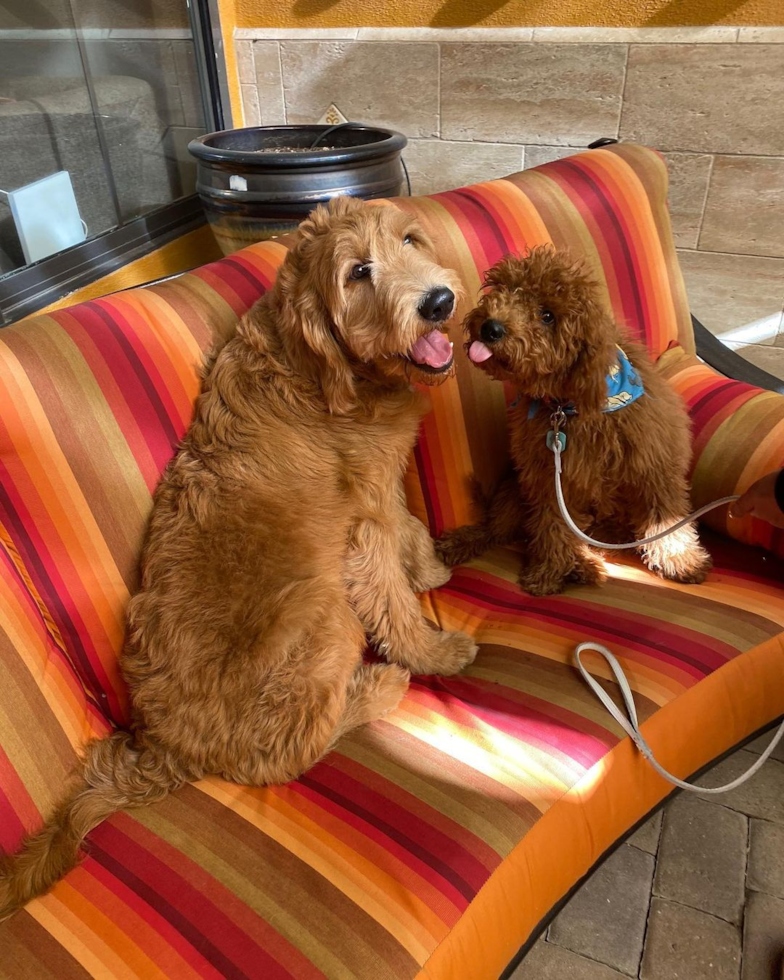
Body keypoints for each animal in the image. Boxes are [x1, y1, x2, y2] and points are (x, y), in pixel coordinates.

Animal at [1, 197, 478, 920]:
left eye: (409, 239)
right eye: (357, 273)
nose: (438, 301)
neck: (323, 369)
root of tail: (166, 750)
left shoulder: (377, 485)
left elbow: (408, 524)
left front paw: (428, 566)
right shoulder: (358, 531)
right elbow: (392, 596)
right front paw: (434, 651)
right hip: (322, 611)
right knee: (281, 756)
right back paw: (376, 690)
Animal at [438, 247, 712, 596]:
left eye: (547, 315)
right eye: (504, 288)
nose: (491, 327)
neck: (568, 407)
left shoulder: (653, 464)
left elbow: (665, 515)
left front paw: (681, 560)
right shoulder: (550, 477)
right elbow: (552, 526)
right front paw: (548, 571)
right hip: (512, 491)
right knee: (496, 529)